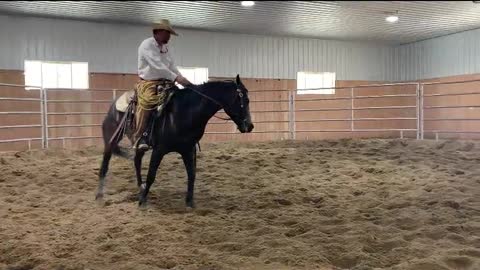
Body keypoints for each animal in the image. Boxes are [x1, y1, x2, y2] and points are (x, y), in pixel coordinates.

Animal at [95, 75, 256, 208]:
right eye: (245, 100)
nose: (249, 126)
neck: (184, 112)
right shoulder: (159, 150)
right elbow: (151, 175)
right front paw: (142, 202)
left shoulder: (188, 149)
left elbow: (192, 174)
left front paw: (190, 202)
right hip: (111, 139)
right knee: (105, 165)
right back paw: (99, 195)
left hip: (139, 144)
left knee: (137, 161)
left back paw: (140, 187)